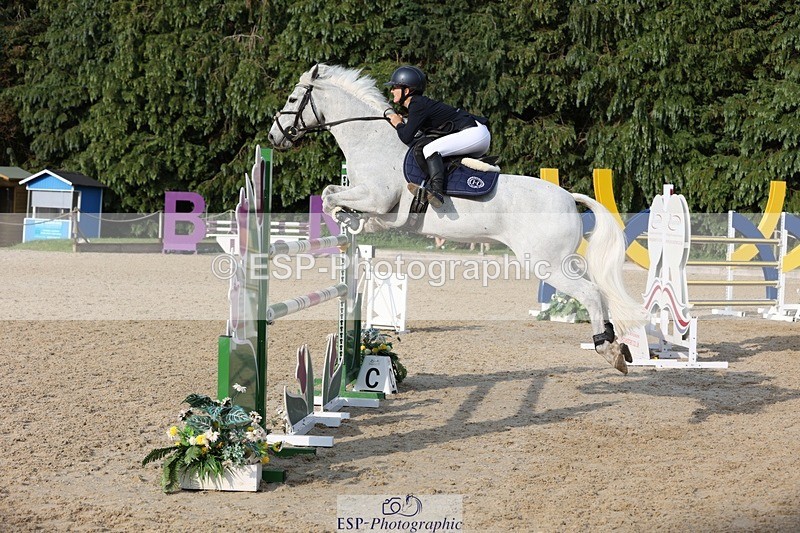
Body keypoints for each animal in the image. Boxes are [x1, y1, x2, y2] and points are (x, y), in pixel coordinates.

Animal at [268, 64, 644, 374]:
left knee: (591, 293)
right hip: (559, 261)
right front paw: (353, 221)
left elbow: (331, 196)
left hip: (546, 263)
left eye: (292, 98)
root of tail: (568, 197)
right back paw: (618, 346)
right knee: (599, 292)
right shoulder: (374, 202)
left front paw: (344, 216)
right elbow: (336, 193)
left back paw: (608, 349)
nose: (273, 137)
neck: (371, 142)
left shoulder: (376, 197)